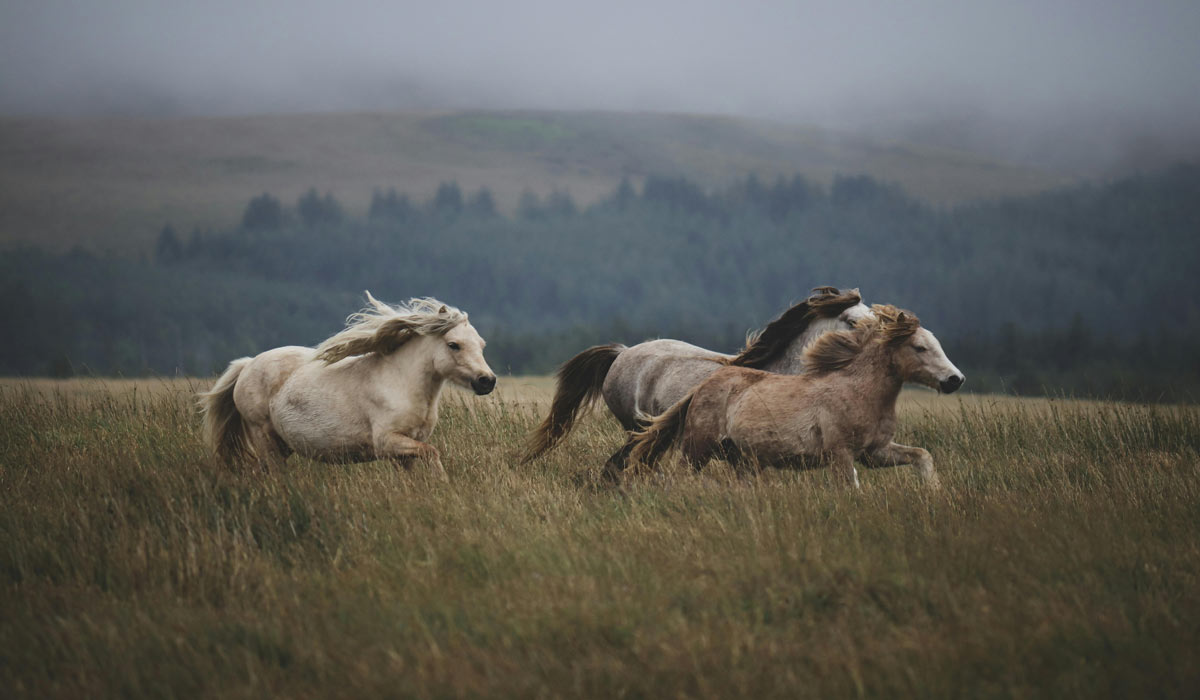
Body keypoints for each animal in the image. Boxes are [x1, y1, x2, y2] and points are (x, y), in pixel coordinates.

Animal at [199, 294, 497, 476]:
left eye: (482, 344)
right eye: (453, 345)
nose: (487, 381)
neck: (401, 383)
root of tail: (247, 364)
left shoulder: (405, 451)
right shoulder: (387, 443)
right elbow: (433, 454)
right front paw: (443, 483)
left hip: (280, 446)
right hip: (264, 437)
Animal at [628, 305, 964, 488]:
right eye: (919, 347)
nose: (955, 380)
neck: (859, 391)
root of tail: (701, 387)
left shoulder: (875, 452)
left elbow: (922, 455)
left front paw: (934, 492)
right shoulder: (841, 453)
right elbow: (851, 487)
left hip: (743, 459)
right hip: (697, 449)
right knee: (681, 476)